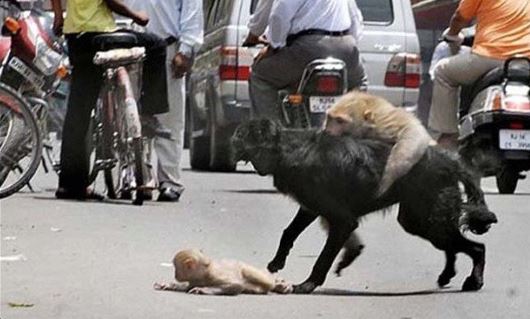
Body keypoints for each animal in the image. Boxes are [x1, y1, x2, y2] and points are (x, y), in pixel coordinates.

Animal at [153, 250, 292, 298]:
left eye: (176, 268)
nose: (175, 274)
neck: (203, 274)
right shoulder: (194, 279)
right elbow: (187, 287)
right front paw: (168, 285)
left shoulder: (214, 276)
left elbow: (236, 285)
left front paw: (204, 290)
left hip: (253, 270)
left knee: (264, 281)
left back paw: (280, 284)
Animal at [231, 119, 496, 296]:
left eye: (240, 136)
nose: (229, 144)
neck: (288, 149)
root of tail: (450, 160)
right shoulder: (311, 208)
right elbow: (289, 232)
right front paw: (277, 262)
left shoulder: (342, 220)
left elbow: (324, 258)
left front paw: (307, 285)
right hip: (418, 221)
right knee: (455, 246)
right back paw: (447, 275)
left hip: (428, 219)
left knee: (477, 248)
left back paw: (474, 282)